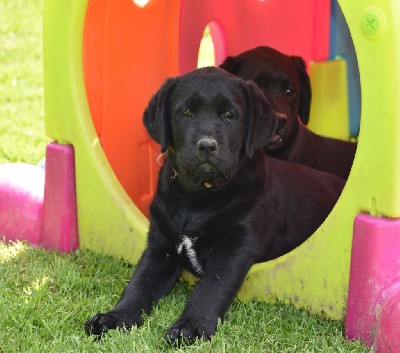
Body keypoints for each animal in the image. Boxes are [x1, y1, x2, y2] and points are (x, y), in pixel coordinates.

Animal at [83, 67, 344, 346]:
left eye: (230, 116)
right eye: (186, 113)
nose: (207, 145)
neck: (200, 195)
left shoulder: (235, 246)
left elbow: (210, 288)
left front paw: (191, 327)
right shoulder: (160, 245)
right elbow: (139, 282)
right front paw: (115, 317)